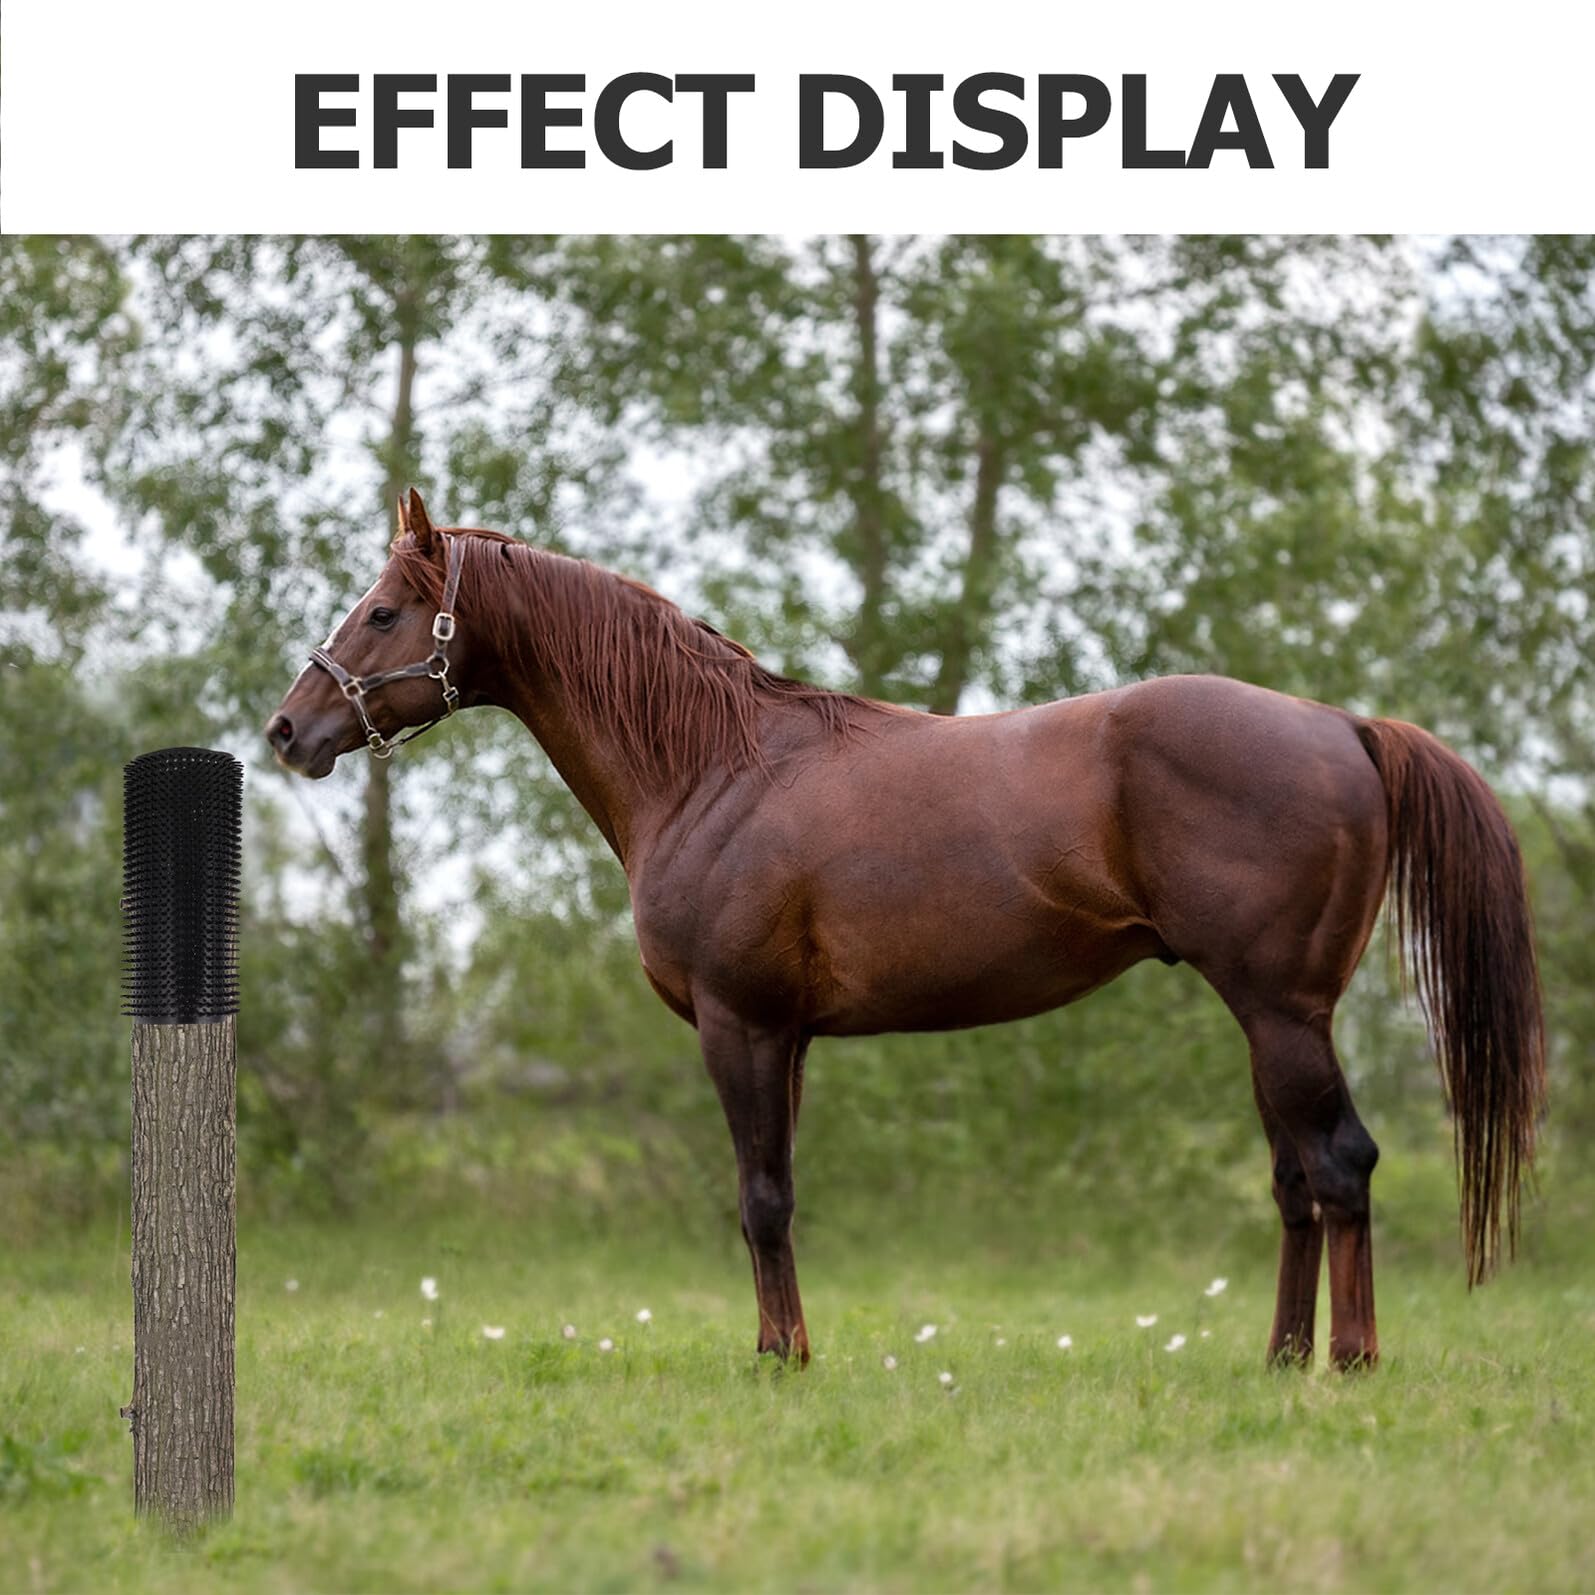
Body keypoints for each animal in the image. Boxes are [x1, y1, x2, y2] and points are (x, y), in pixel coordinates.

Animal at [267, 489, 1546, 1370]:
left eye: (383, 611)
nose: (288, 729)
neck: (713, 765)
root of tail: (1341, 724)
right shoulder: (787, 1036)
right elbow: (774, 1193)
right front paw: (785, 1346)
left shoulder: (740, 1023)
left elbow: (760, 1196)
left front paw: (780, 1359)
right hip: (1267, 1019)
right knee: (1294, 1179)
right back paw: (1279, 1358)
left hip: (1281, 1011)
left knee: (1340, 1164)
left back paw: (1349, 1360)